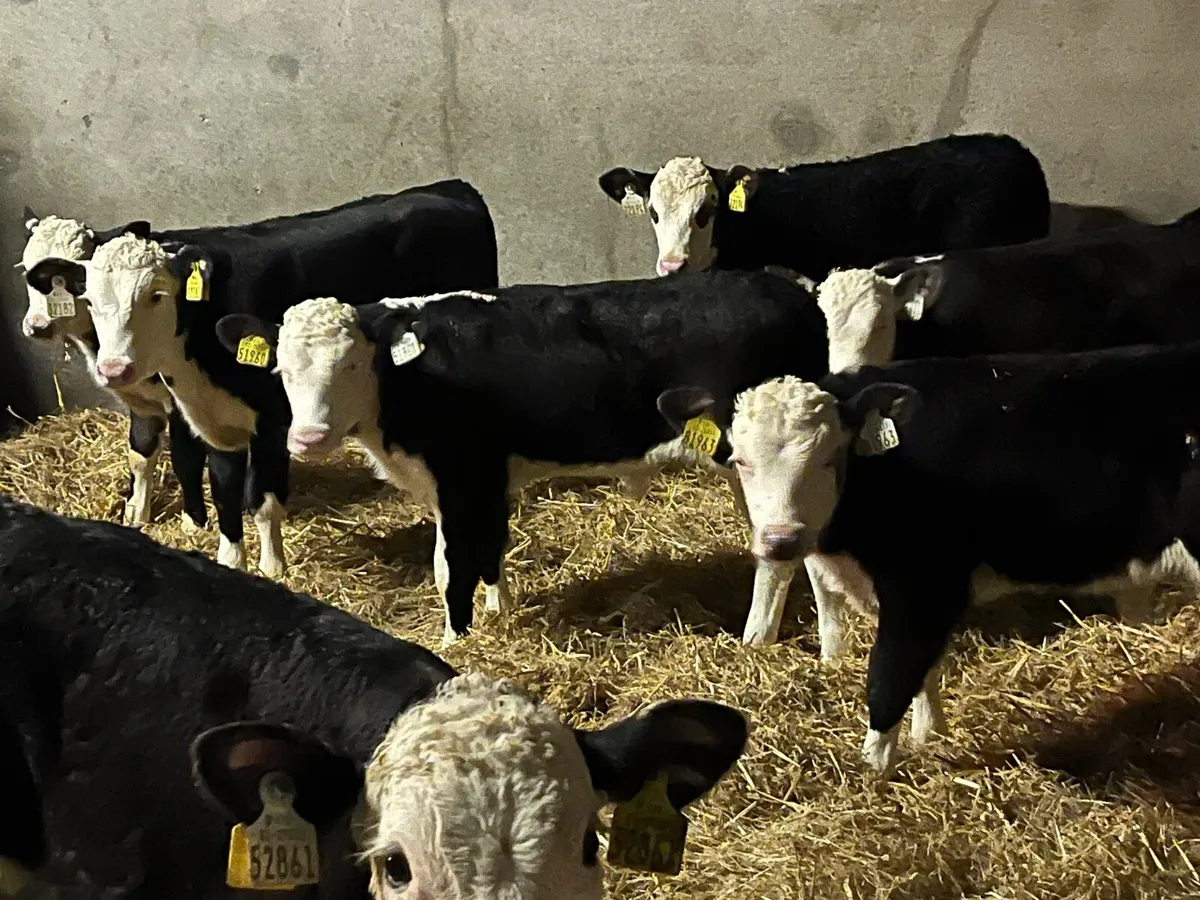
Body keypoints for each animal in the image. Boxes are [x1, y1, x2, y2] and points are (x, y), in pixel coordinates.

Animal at [18, 209, 213, 530]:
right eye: (26, 269)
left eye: (66, 283)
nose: (37, 325)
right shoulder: (139, 400)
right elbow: (140, 452)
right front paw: (135, 513)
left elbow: (185, 458)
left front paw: (192, 523)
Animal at [38, 181, 499, 578]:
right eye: (90, 299)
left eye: (155, 295)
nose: (114, 369)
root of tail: (449, 188)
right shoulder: (216, 423)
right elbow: (224, 492)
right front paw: (230, 561)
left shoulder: (274, 422)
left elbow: (260, 500)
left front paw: (273, 568)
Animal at [214, 267, 830, 644]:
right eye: (282, 368)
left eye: (349, 365)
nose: (307, 439)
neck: (411, 378)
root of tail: (787, 289)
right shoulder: (475, 480)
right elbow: (488, 549)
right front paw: (498, 612)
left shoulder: (464, 475)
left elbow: (451, 566)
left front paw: (455, 639)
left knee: (778, 554)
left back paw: (756, 636)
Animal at [657, 342, 1200, 774]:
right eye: (741, 461)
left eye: (830, 457)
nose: (781, 541)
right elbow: (926, 670)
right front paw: (928, 736)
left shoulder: (923, 585)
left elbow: (891, 675)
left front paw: (873, 773)